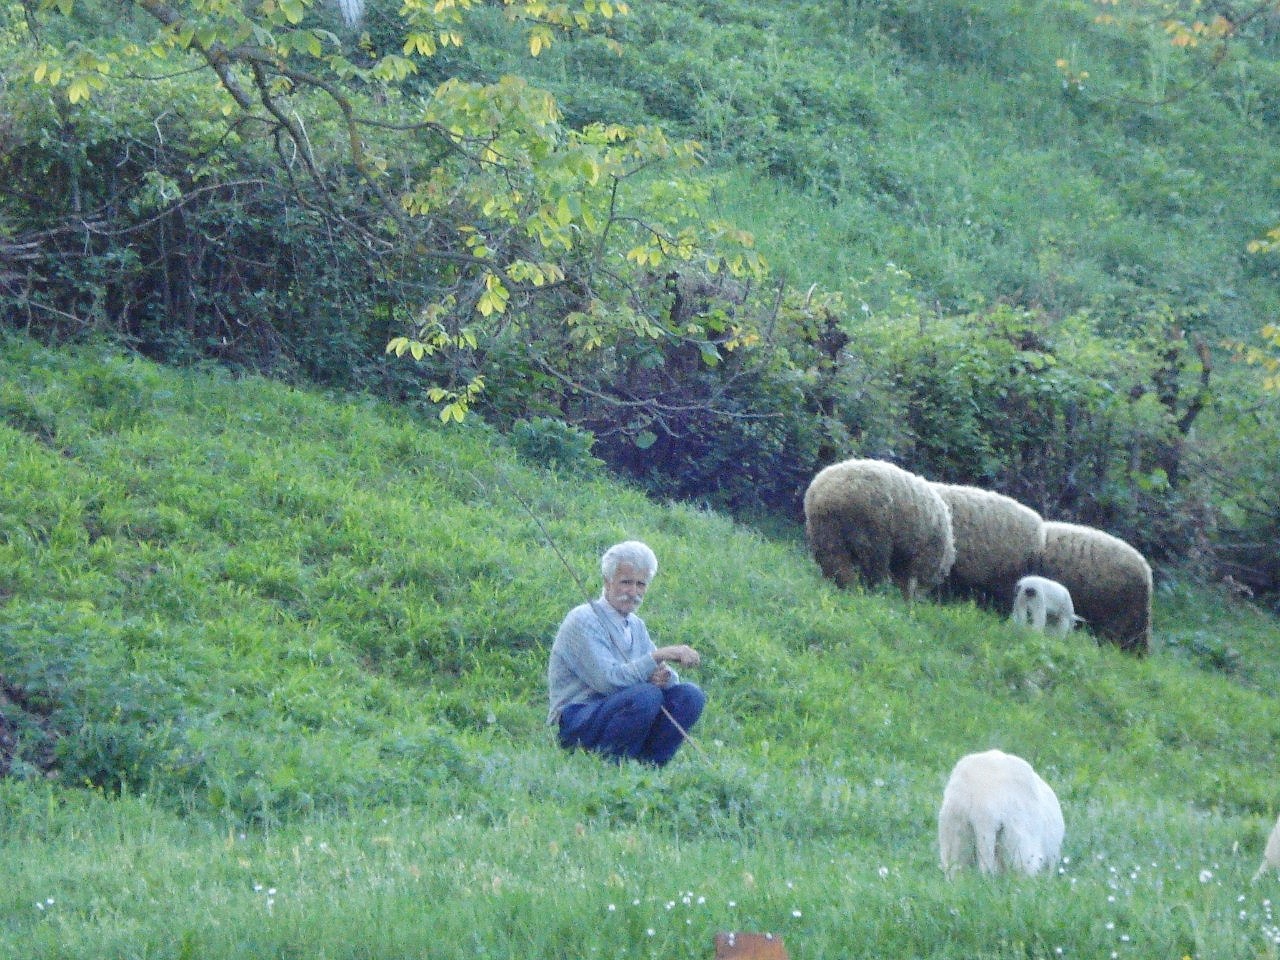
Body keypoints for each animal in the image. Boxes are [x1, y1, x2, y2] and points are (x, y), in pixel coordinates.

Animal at [803, 458, 957, 601]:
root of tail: (829, 495)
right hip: (870, 525)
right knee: (874, 560)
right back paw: (875, 588)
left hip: (826, 527)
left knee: (833, 557)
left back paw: (844, 585)